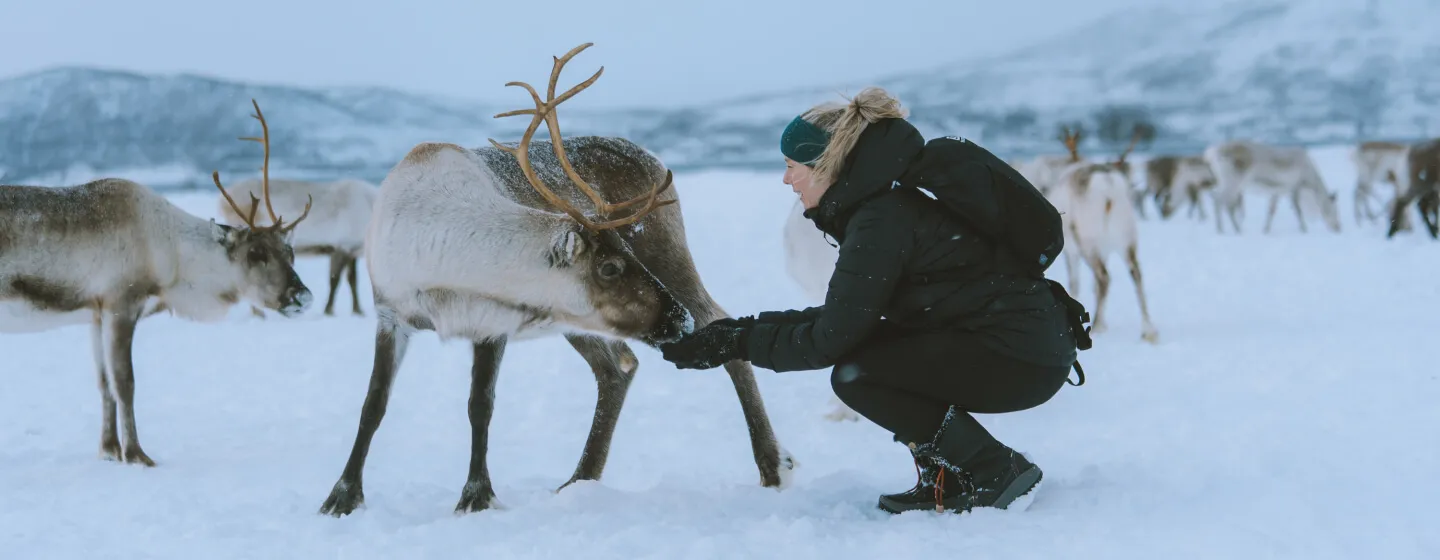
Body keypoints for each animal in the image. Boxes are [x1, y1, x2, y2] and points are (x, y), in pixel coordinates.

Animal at [0, 99, 313, 466]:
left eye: (290, 252)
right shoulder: (121, 303)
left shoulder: (95, 313)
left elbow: (104, 383)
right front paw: (137, 454)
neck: (171, 256)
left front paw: (109, 450)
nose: (302, 296)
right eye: (255, 253)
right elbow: (125, 383)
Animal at [217, 176, 378, 316]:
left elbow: (353, 281)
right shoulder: (341, 246)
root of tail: (222, 201)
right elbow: (334, 281)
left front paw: (358, 311)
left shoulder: (352, 250)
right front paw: (328, 311)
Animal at [317, 43, 795, 517]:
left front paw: (476, 496)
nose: (679, 320)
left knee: (718, 326)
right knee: (619, 366)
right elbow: (373, 405)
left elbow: (480, 405)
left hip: (668, 256)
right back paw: (580, 478)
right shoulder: (391, 313)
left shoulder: (491, 324)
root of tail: (653, 158)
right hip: (577, 320)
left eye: (623, 253)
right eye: (609, 266)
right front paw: (343, 496)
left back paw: (773, 464)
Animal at [1045, 130, 1159, 343]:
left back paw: (1096, 326)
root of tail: (1108, 189)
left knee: (1104, 277)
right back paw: (1149, 330)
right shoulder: (1104, 250)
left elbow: (1075, 283)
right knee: (1135, 272)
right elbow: (1093, 286)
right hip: (1127, 237)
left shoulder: (1070, 250)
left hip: (1088, 241)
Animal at [1203, 140, 1341, 235]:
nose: (1339, 228)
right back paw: (1224, 230)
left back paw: (1235, 229)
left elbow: (1271, 211)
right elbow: (1297, 210)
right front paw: (1304, 229)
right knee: (1219, 201)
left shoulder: (1277, 192)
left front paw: (1266, 229)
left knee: (1225, 203)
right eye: (1335, 210)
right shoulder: (1293, 188)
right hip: (1232, 183)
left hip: (1229, 185)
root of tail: (1210, 154)